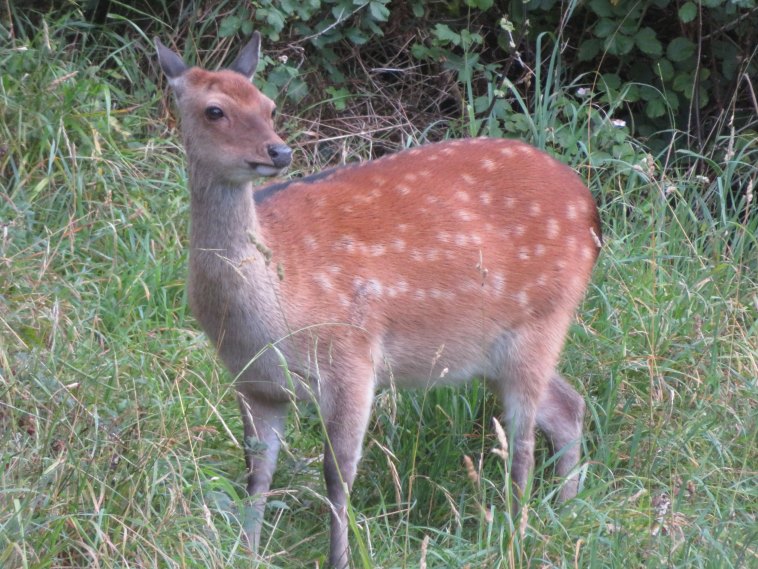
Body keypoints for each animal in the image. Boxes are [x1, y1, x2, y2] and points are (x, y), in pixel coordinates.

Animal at [156, 30, 604, 568]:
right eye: (214, 110)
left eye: (269, 105)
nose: (278, 151)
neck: (272, 310)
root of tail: (592, 210)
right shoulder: (254, 381)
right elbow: (256, 472)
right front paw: (246, 551)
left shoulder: (352, 356)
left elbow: (337, 475)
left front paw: (339, 559)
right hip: (495, 349)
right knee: (567, 406)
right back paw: (567, 512)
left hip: (544, 316)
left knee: (522, 443)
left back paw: (516, 536)